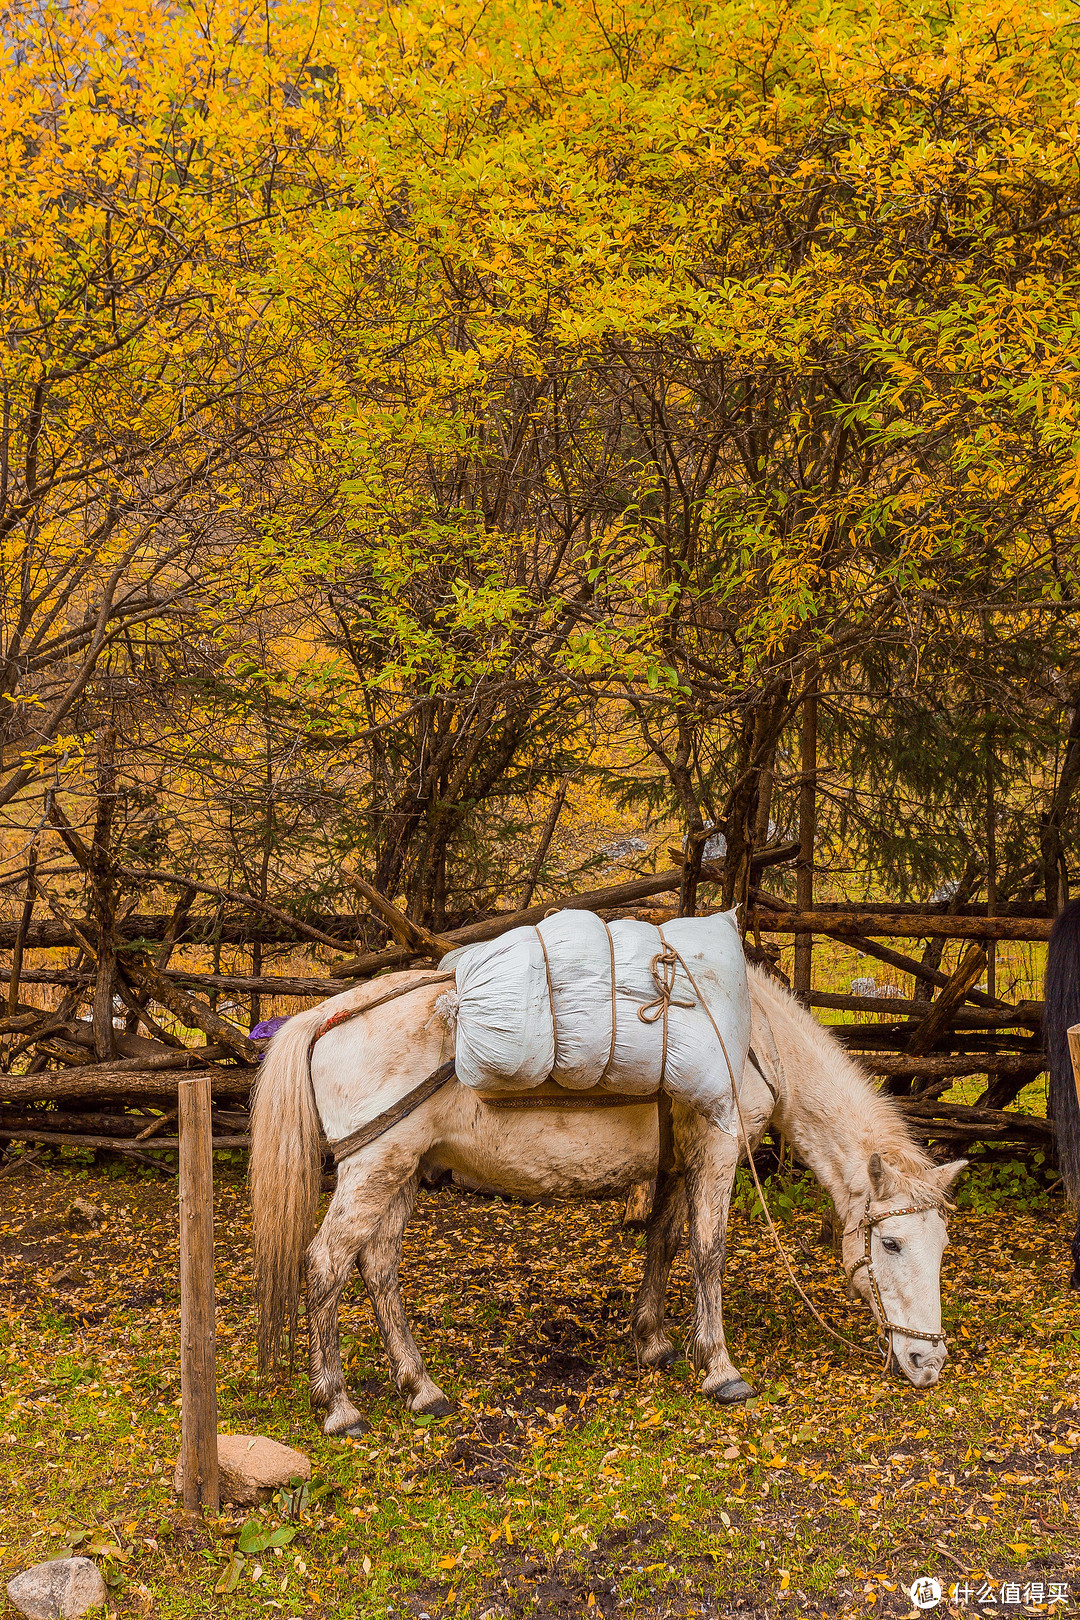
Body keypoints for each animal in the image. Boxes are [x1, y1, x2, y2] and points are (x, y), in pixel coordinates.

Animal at [249, 959, 965, 1432]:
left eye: (941, 1246)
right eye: (891, 1243)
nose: (926, 1363)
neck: (755, 1039)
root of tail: (324, 1016)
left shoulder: (676, 1159)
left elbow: (665, 1242)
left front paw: (652, 1341)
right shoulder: (716, 1150)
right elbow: (708, 1252)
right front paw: (721, 1369)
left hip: (400, 1169)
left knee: (379, 1267)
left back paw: (420, 1387)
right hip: (373, 1168)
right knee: (326, 1265)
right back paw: (339, 1406)